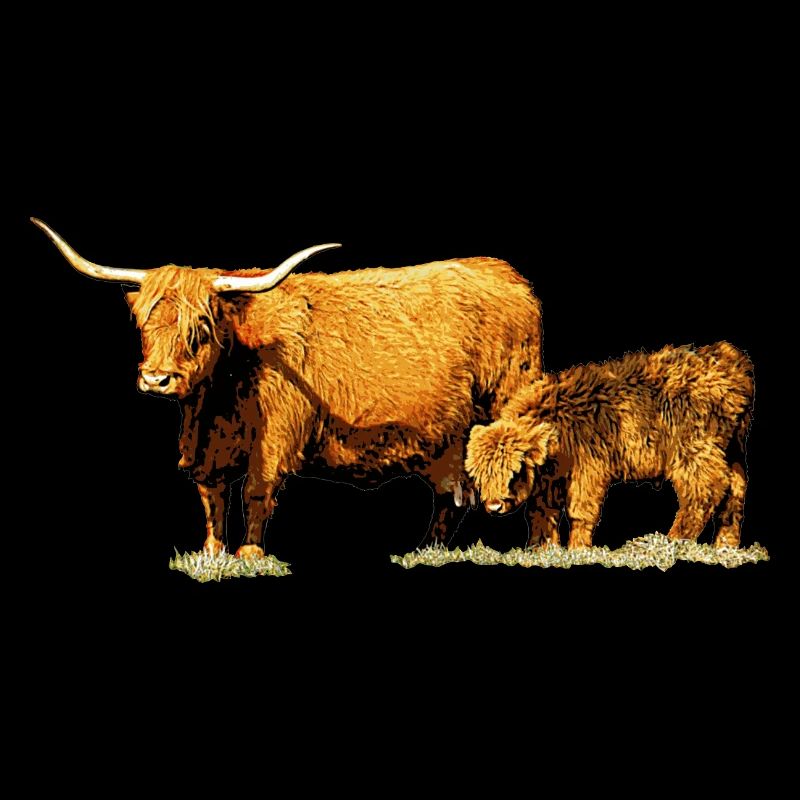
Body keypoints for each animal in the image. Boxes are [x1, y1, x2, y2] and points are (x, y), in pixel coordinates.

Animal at [33, 218, 542, 558]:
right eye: (144, 323)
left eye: (200, 325)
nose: (156, 378)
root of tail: (503, 274)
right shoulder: (207, 445)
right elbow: (211, 495)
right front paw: (212, 551)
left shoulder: (276, 433)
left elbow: (257, 490)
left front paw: (249, 554)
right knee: (452, 495)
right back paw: (428, 550)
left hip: (508, 406)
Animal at [465, 343, 753, 549]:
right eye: (478, 476)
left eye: (515, 472)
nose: (493, 506)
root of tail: (730, 362)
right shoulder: (550, 481)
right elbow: (542, 513)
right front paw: (540, 549)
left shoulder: (589, 471)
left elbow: (580, 511)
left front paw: (578, 550)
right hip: (733, 451)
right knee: (734, 492)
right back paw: (724, 546)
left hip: (693, 451)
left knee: (705, 491)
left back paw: (673, 540)